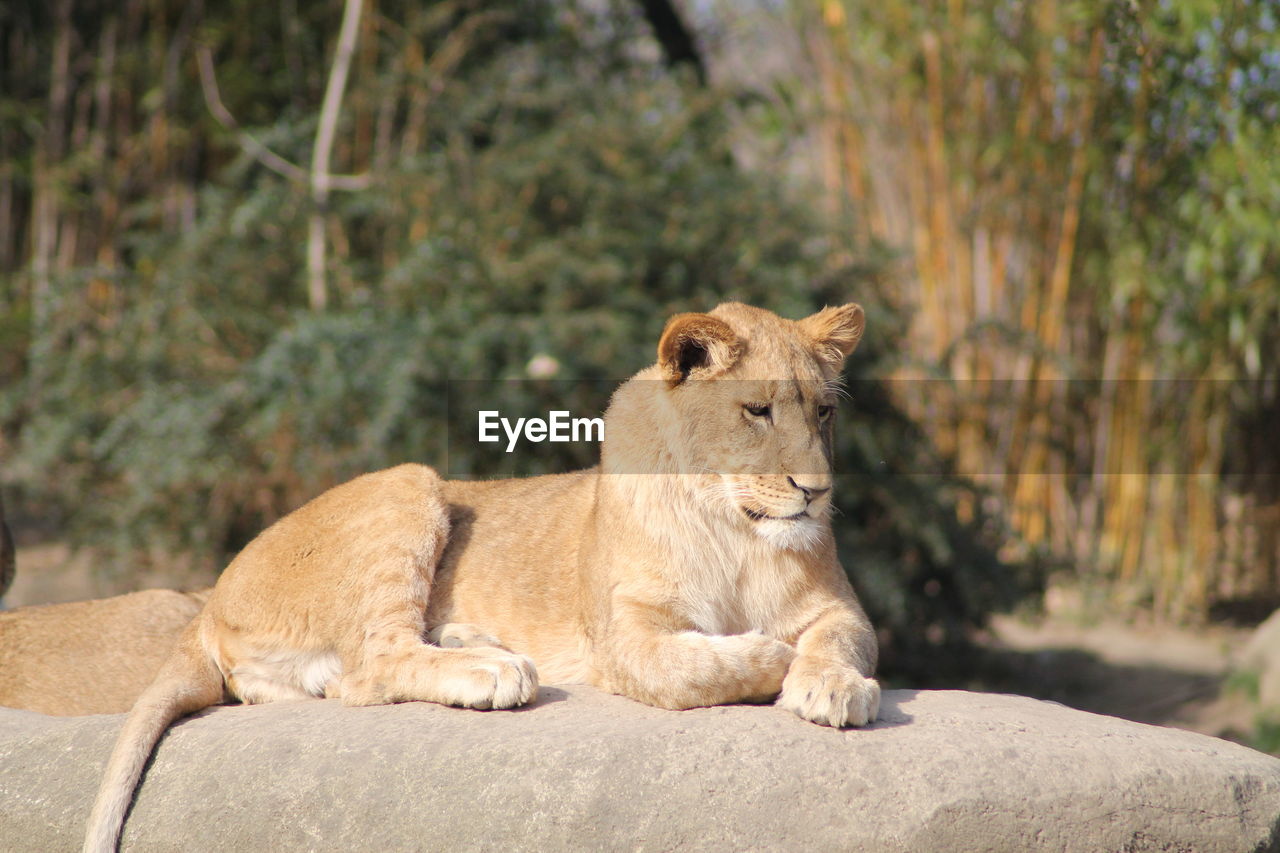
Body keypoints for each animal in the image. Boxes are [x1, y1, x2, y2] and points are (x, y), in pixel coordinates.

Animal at [82, 302, 880, 845]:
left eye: (823, 414)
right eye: (757, 410)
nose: (816, 492)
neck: (737, 531)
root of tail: (209, 600)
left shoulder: (841, 609)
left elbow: (839, 640)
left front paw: (834, 685)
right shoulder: (624, 634)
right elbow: (691, 668)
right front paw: (771, 656)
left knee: (338, 679)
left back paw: (476, 644)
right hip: (408, 483)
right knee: (373, 665)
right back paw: (492, 672)